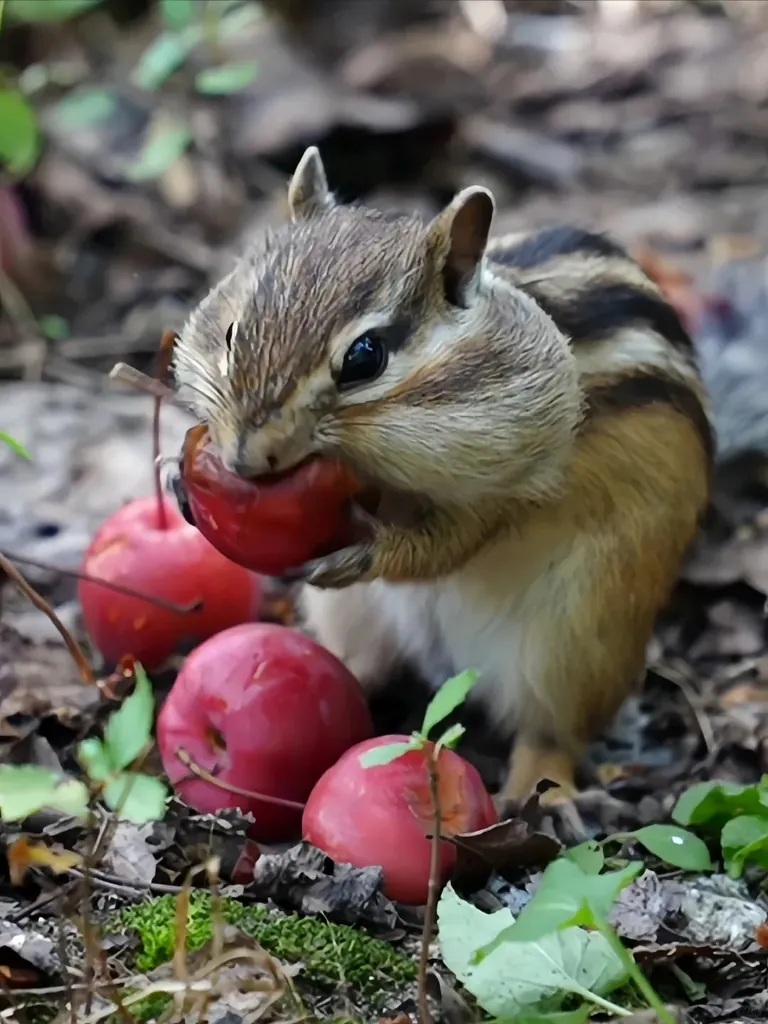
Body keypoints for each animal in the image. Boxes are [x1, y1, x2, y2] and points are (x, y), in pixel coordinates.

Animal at [172, 145, 719, 812]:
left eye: (365, 358)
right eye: (230, 335)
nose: (245, 458)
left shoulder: (513, 479)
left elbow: (452, 541)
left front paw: (372, 549)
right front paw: (177, 481)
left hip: (576, 641)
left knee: (552, 733)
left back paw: (542, 792)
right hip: (355, 617)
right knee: (362, 664)